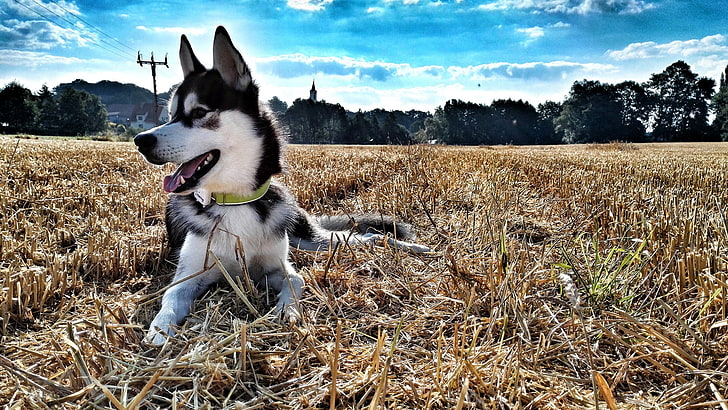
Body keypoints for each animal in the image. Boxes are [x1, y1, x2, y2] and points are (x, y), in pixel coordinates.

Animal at [134, 26, 430, 346]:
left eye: (200, 112)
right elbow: (171, 296)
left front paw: (288, 311)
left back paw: (415, 247)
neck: (234, 201)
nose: (140, 140)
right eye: (170, 116)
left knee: (369, 236)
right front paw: (159, 331)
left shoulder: (278, 267)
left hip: (314, 242)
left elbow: (297, 280)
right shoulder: (191, 274)